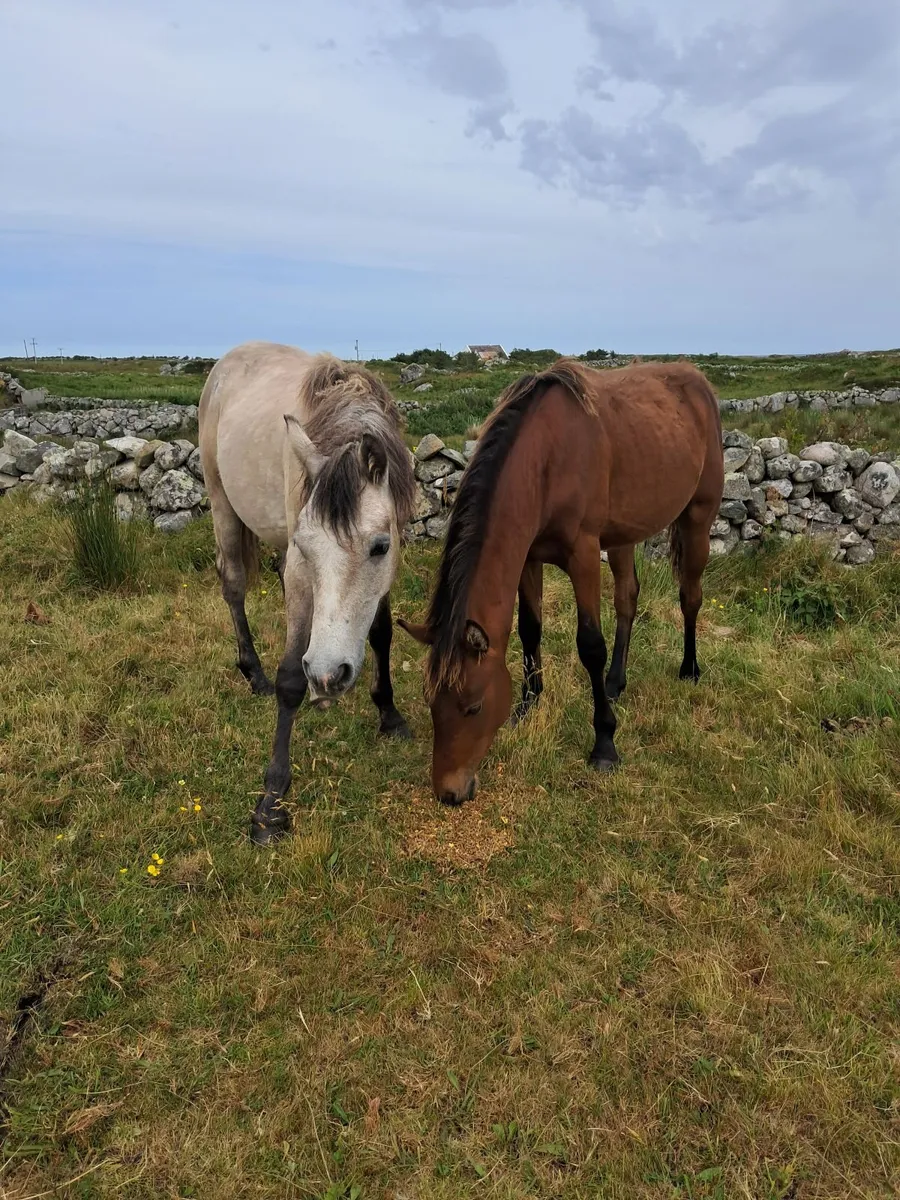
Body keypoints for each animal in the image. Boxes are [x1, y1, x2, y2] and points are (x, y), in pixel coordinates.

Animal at [199, 341, 416, 844]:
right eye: (307, 544)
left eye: (380, 546)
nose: (328, 674)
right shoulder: (299, 565)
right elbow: (290, 680)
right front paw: (271, 803)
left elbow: (381, 635)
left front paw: (389, 713)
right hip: (222, 505)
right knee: (233, 586)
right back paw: (253, 673)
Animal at [399, 358, 723, 805]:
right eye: (430, 702)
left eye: (474, 707)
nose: (449, 793)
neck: (546, 460)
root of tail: (698, 381)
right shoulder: (528, 557)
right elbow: (529, 629)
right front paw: (528, 704)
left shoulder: (583, 556)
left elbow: (590, 645)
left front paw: (604, 742)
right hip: (624, 534)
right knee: (628, 598)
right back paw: (615, 682)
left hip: (698, 517)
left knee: (690, 595)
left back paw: (689, 668)